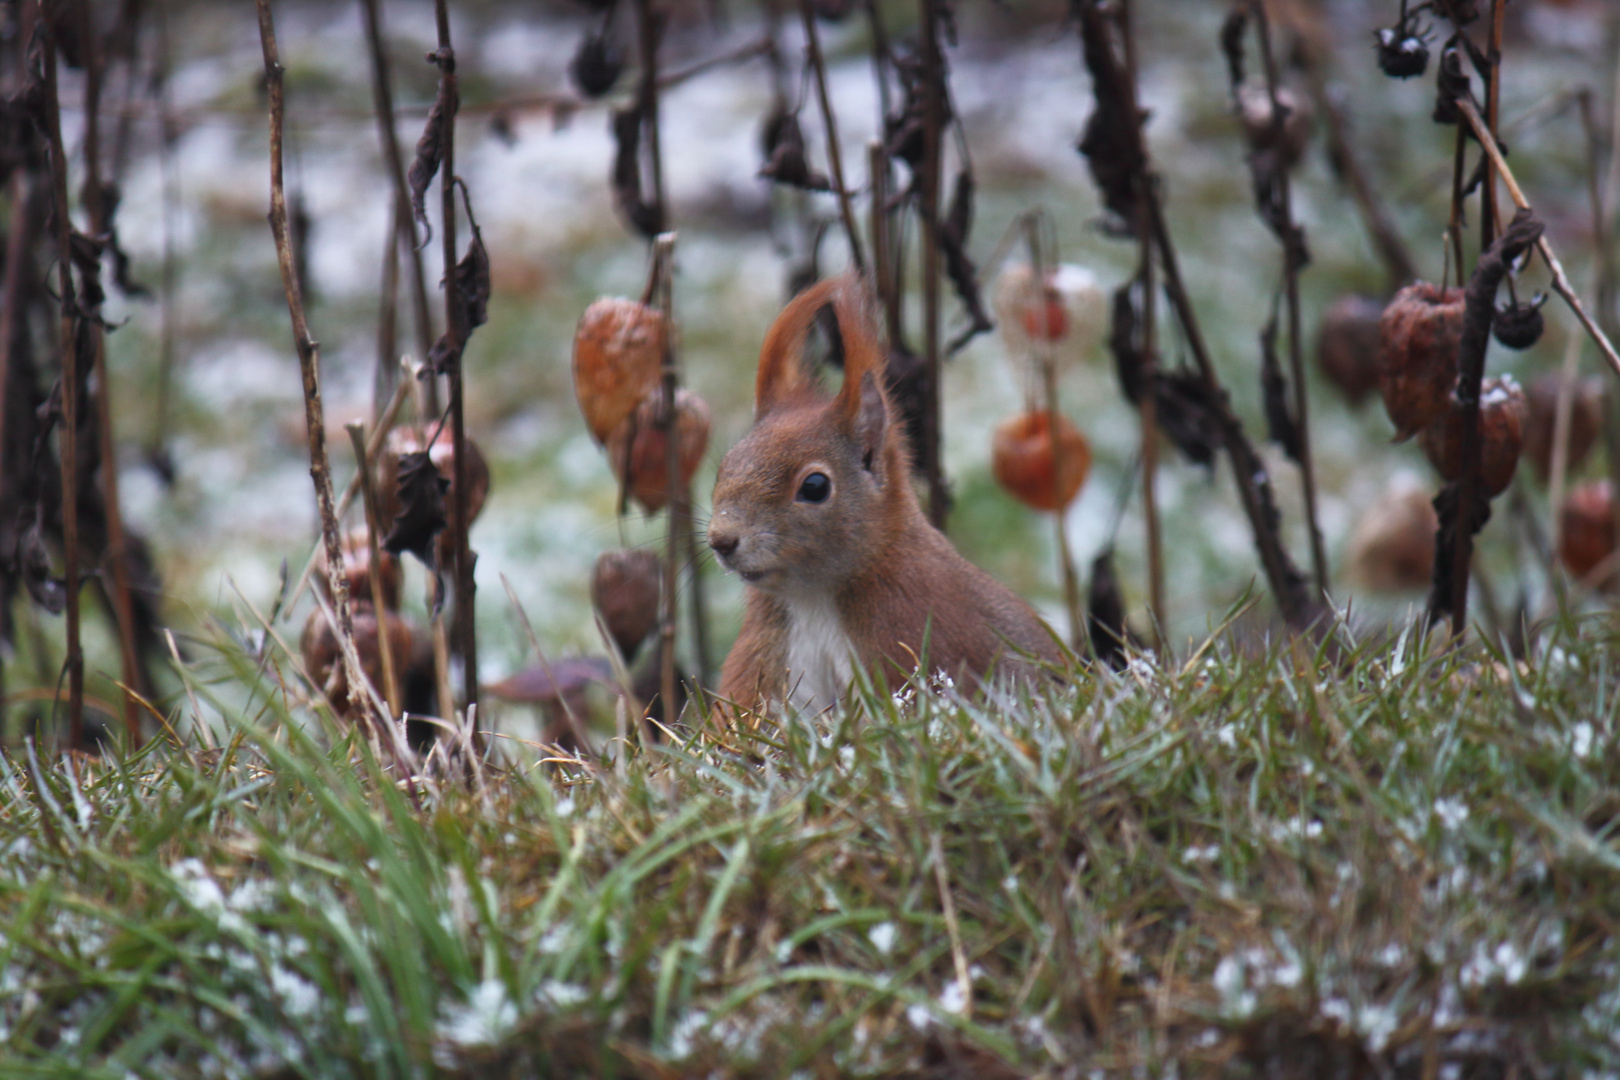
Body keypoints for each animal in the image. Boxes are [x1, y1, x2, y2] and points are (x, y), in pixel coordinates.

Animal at [709, 276, 1062, 718]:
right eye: (724, 465)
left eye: (815, 487)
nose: (721, 539)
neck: (812, 597)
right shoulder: (769, 658)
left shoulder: (914, 638)